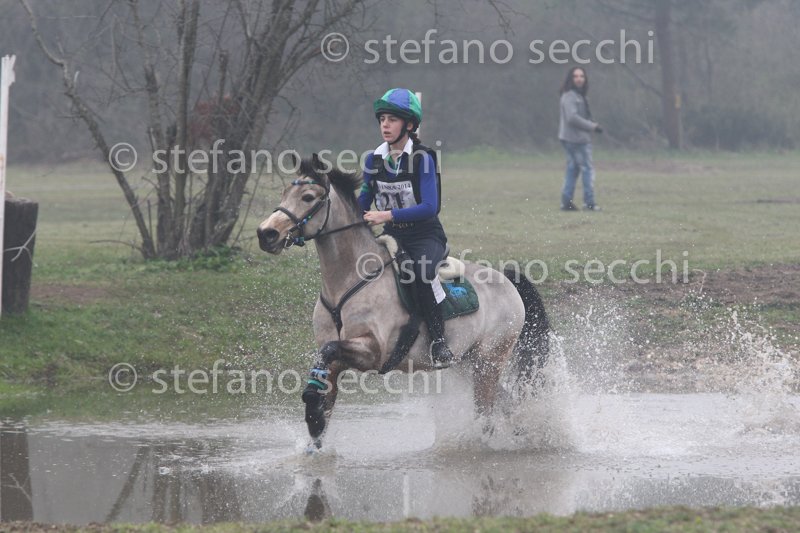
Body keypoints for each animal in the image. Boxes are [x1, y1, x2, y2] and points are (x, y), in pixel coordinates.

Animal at [257, 154, 549, 449]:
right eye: (284, 193)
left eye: (307, 197)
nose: (266, 233)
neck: (349, 280)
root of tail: (507, 280)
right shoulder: (338, 357)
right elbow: (324, 376)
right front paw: (314, 419)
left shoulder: (373, 351)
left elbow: (329, 350)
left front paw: (312, 404)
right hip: (468, 364)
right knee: (506, 403)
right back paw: (523, 431)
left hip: (489, 362)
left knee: (487, 413)